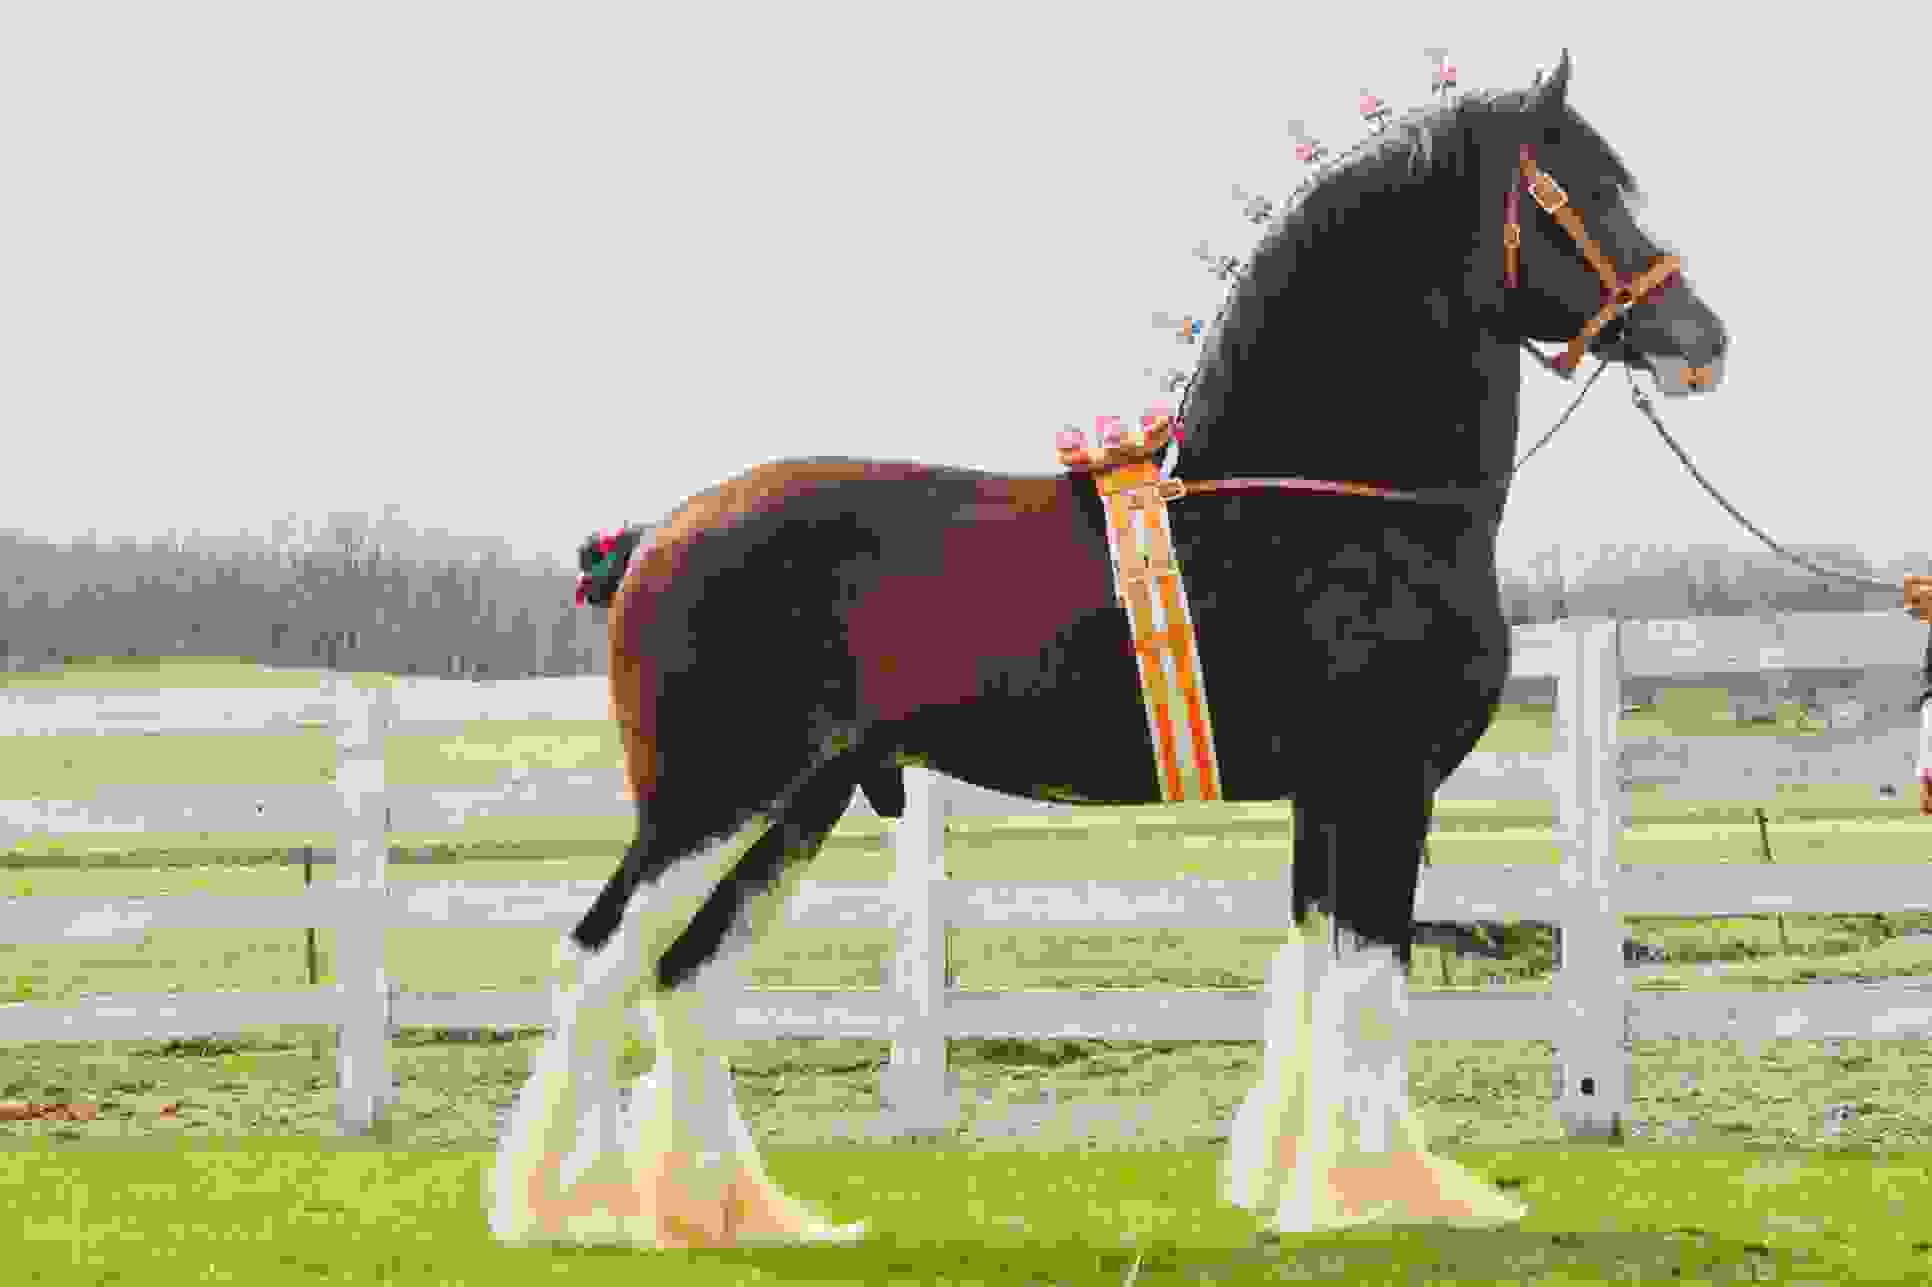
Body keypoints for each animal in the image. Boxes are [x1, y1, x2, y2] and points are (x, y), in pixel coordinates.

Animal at [489, 49, 1728, 1247]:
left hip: (799, 806)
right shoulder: (1383, 784)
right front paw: (1381, 1200)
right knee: (599, 961)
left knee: (684, 978)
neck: (1339, 502)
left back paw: (734, 1216)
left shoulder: (1328, 798)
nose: (1704, 342)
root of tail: (652, 535)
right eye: (1583, 188)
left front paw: (1291, 1186)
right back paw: (566, 1211)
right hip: (711, 800)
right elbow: (1371, 981)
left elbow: (1314, 974)